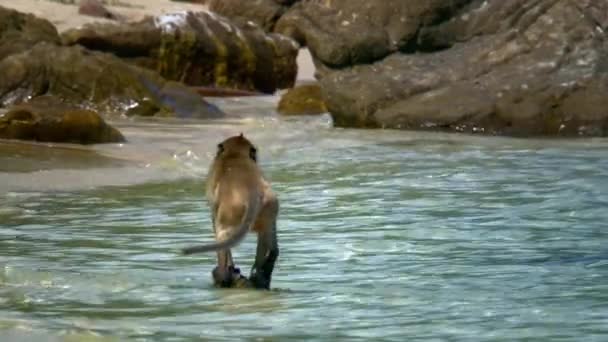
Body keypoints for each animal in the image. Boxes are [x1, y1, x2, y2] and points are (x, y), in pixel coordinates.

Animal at [182, 134, 280, 288]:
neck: (235, 155)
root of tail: (253, 192)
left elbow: (215, 221)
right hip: (270, 206)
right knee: (269, 240)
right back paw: (260, 274)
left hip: (233, 210)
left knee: (223, 235)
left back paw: (223, 277)